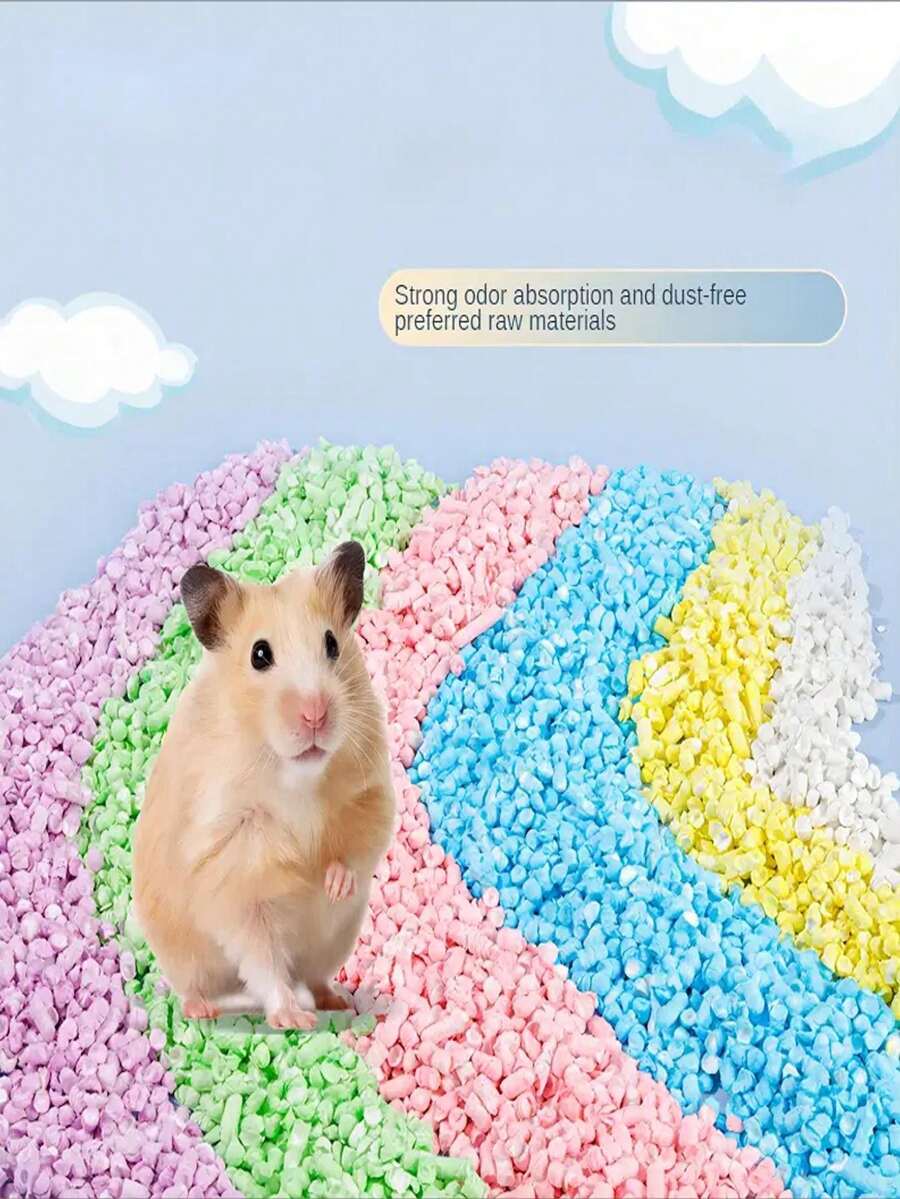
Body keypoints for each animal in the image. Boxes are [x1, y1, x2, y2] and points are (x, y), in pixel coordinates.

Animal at [132, 541, 394, 1029]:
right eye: (259, 655)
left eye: (332, 644)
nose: (315, 714)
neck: (294, 775)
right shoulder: (229, 868)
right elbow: (262, 950)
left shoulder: (370, 791)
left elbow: (356, 845)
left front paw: (330, 883)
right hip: (184, 957)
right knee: (212, 982)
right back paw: (210, 1010)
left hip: (333, 944)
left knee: (312, 976)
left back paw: (336, 1002)